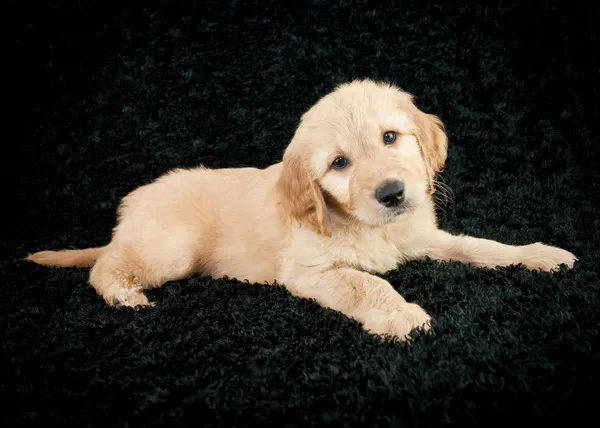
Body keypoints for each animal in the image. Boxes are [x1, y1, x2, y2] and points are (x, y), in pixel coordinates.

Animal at [27, 78, 576, 340]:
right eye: (339, 164)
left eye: (391, 137)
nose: (393, 194)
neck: (369, 225)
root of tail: (132, 205)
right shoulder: (310, 271)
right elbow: (368, 284)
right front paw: (403, 316)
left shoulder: (425, 237)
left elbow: (482, 246)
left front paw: (540, 255)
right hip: (169, 250)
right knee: (104, 266)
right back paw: (124, 295)